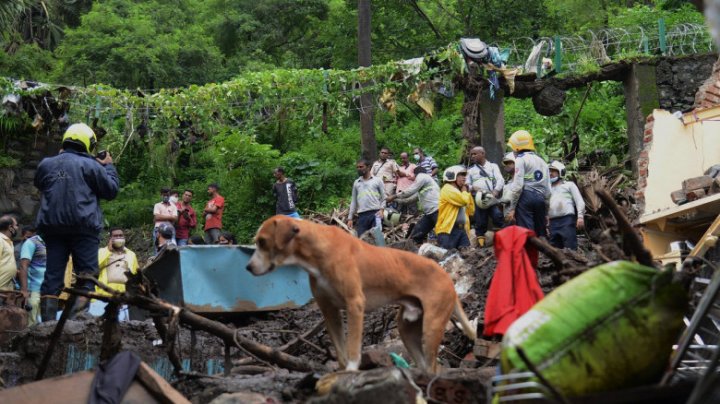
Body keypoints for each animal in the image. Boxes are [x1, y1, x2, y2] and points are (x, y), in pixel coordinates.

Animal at [248, 215, 478, 372]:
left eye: (262, 241)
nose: (248, 268)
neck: (317, 251)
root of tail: (446, 275)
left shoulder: (354, 305)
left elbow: (352, 348)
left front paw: (351, 371)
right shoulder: (329, 311)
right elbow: (340, 350)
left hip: (431, 327)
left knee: (433, 366)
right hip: (407, 328)